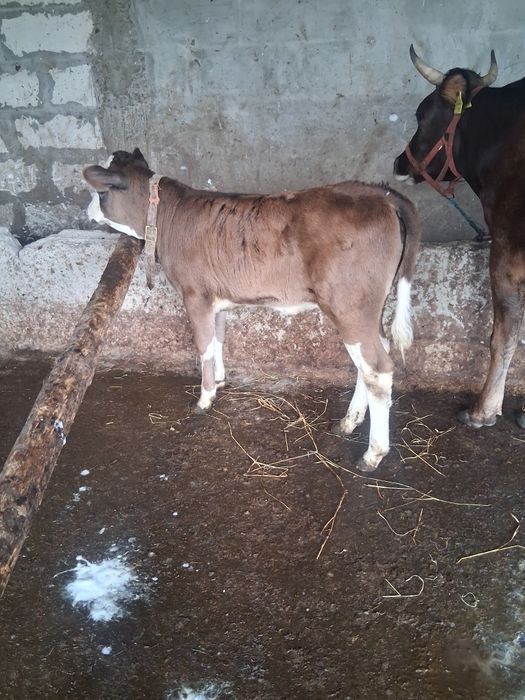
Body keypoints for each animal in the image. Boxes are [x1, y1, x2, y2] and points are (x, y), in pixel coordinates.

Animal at [84, 149, 420, 471]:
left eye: (100, 194)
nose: (87, 213)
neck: (167, 216)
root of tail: (378, 192)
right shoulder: (217, 298)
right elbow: (218, 339)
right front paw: (219, 381)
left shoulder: (195, 295)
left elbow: (204, 347)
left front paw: (204, 398)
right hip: (367, 309)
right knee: (374, 357)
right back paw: (349, 422)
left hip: (349, 307)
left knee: (378, 370)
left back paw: (372, 455)